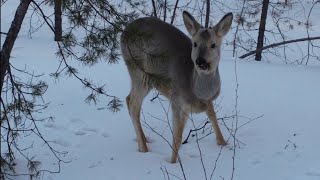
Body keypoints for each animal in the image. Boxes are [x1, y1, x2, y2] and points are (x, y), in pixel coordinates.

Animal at [120, 10, 232, 163]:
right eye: (195, 44)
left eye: (213, 45)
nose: (200, 61)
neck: (198, 91)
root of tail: (124, 32)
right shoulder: (177, 100)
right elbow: (177, 137)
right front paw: (173, 162)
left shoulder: (202, 102)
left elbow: (212, 115)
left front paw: (223, 143)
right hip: (138, 70)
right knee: (133, 103)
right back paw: (143, 148)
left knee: (128, 98)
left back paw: (144, 139)